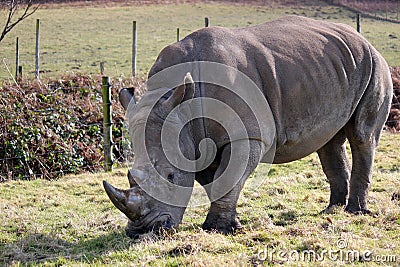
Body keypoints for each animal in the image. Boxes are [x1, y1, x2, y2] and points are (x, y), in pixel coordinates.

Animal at [102, 15, 390, 239]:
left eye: (171, 176)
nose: (141, 231)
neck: (181, 104)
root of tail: (364, 40)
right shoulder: (195, 140)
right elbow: (217, 181)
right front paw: (229, 224)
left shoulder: (245, 135)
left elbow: (228, 178)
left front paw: (216, 229)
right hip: (331, 69)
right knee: (329, 141)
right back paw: (331, 210)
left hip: (374, 65)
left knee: (362, 136)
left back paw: (355, 211)